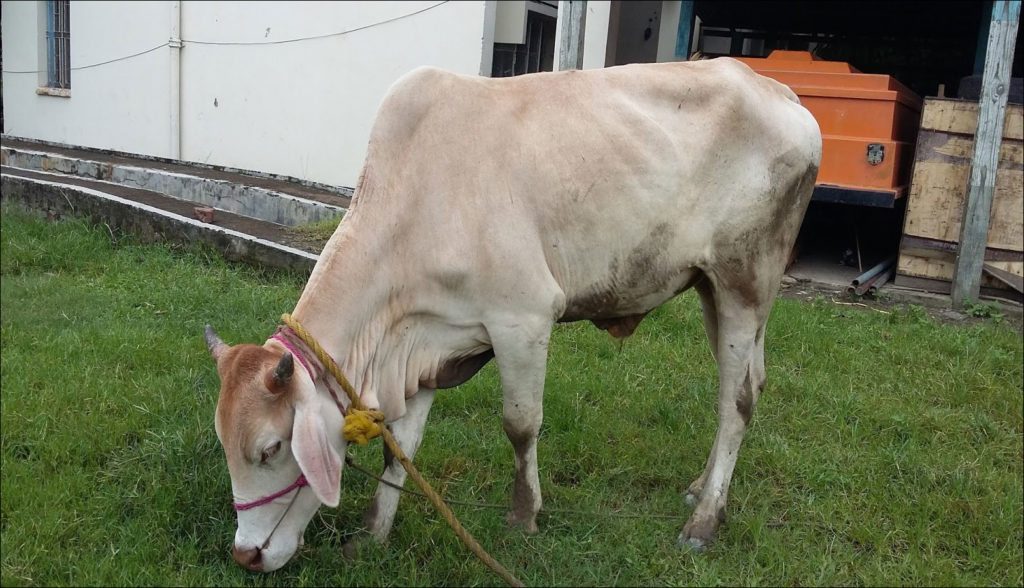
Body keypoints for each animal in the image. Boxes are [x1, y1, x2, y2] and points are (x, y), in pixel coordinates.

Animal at [203, 57, 819, 573]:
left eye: (270, 448)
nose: (245, 555)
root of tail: (778, 91)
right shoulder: (428, 342)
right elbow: (401, 442)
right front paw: (373, 531)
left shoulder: (523, 318)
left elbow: (520, 425)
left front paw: (524, 517)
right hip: (712, 289)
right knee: (753, 383)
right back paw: (700, 488)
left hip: (745, 281)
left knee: (735, 401)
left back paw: (704, 519)